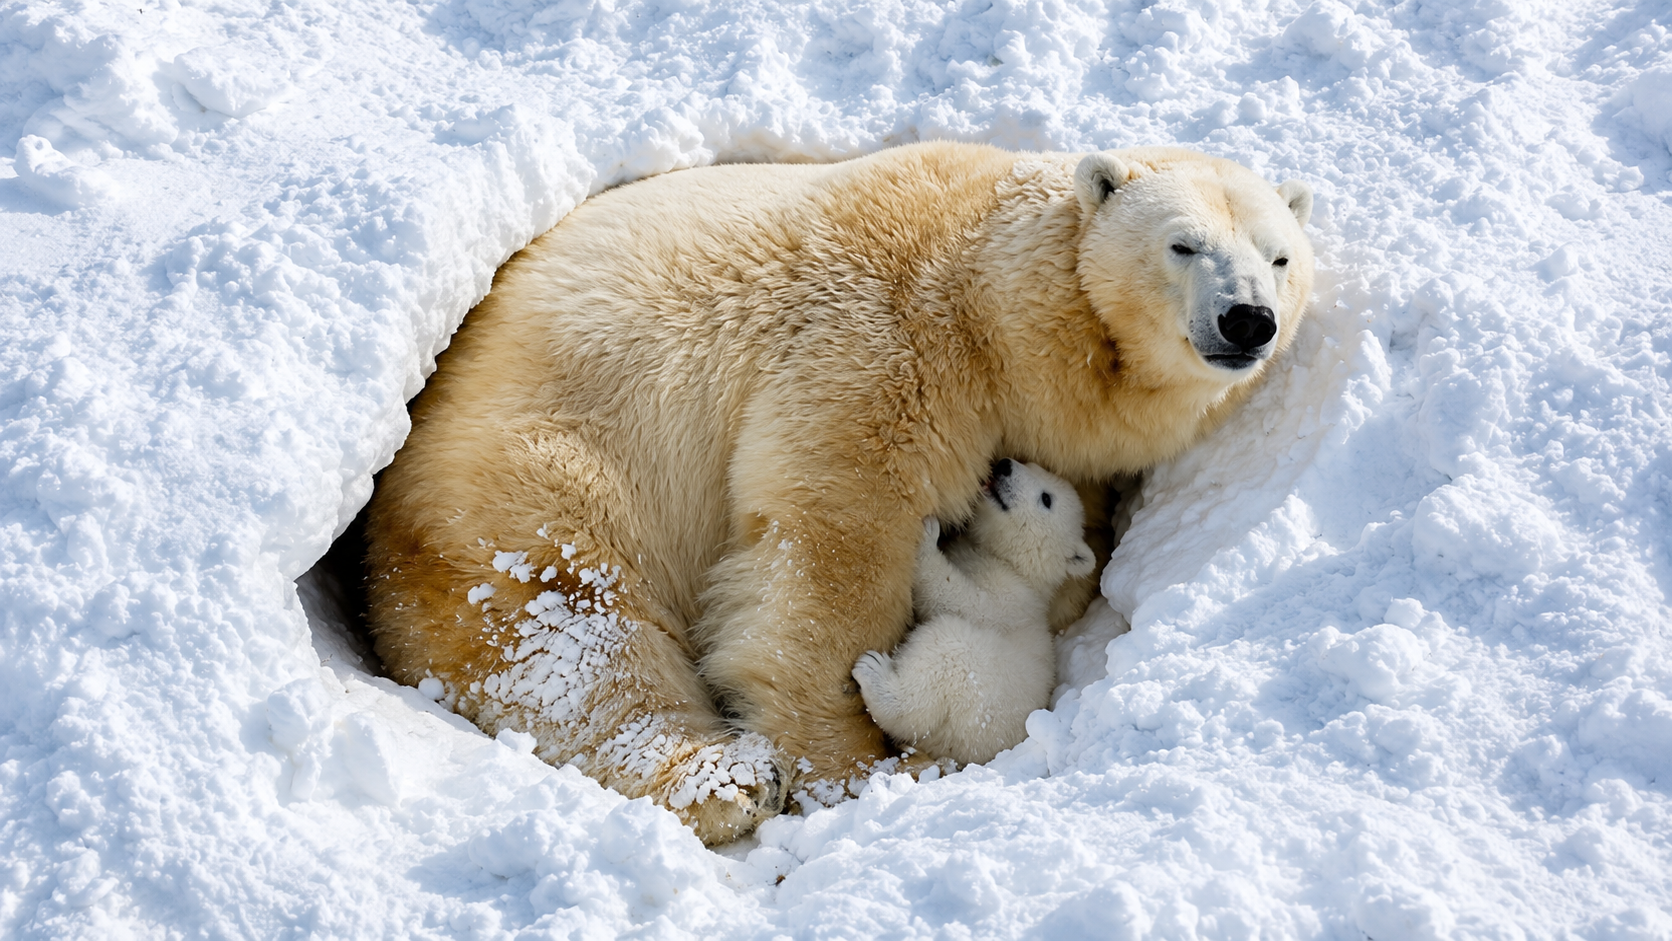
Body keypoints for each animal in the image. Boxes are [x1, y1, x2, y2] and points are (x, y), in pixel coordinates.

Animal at [853, 458, 1094, 766]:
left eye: (1046, 498)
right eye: (1029, 463)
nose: (1004, 465)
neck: (1015, 565)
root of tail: (959, 752)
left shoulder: (1011, 599)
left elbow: (964, 601)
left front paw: (928, 536)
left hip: (976, 693)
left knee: (945, 652)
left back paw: (873, 672)